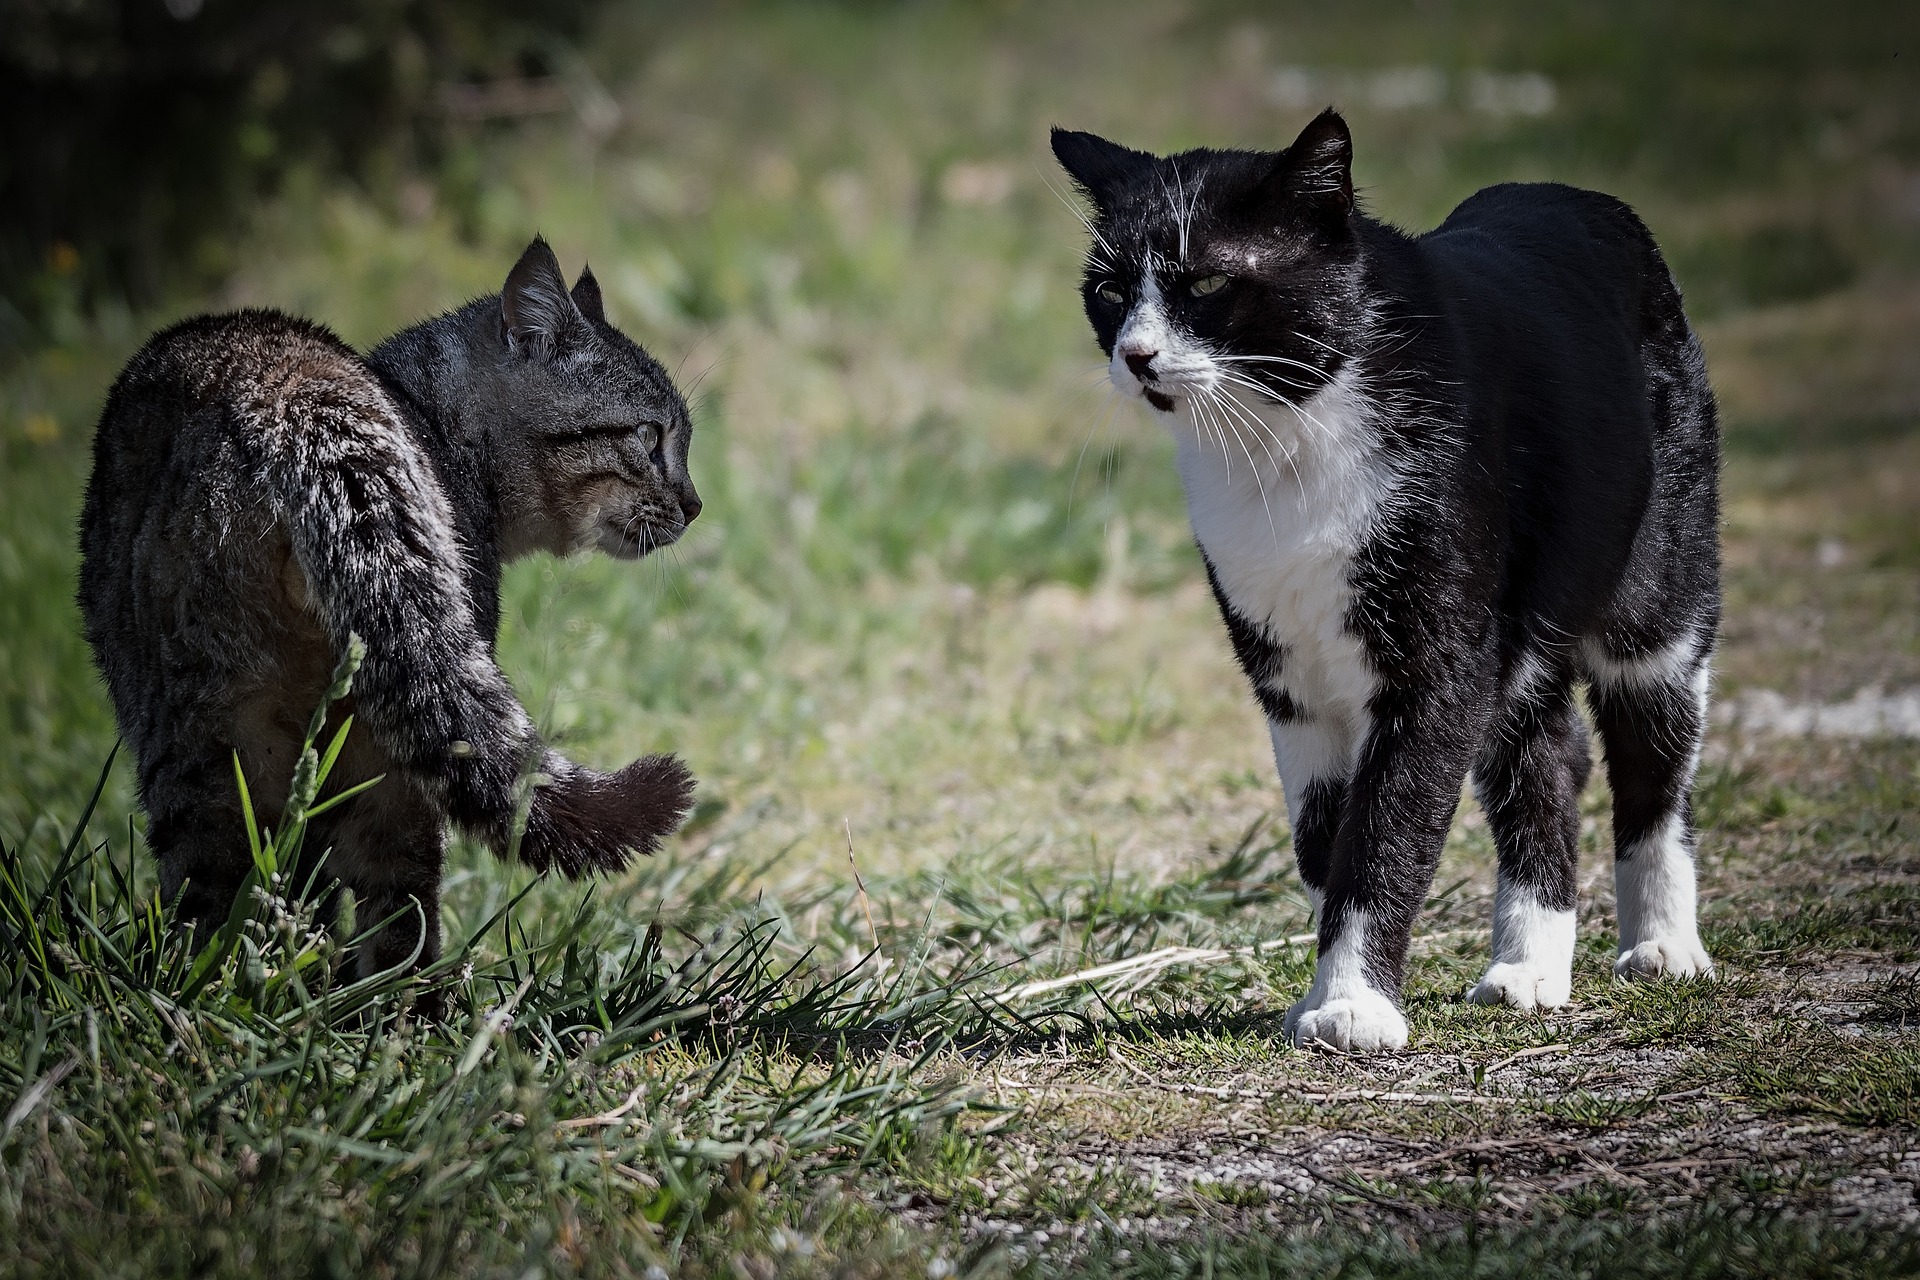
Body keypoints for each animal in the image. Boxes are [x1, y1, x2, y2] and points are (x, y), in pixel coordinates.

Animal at [80, 239, 706, 974]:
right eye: (650, 436)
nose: (696, 504)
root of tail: (295, 398)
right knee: (392, 906)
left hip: (209, 732)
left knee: (229, 893)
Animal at [1059, 110, 1720, 1051]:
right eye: (1110, 291)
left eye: (1211, 280)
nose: (1138, 354)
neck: (1285, 440)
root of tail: (1577, 195)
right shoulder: (1291, 680)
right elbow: (1323, 838)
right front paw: (1324, 988)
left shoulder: (1435, 663)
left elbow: (1385, 831)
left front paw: (1353, 1005)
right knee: (1547, 754)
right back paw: (1530, 966)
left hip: (1660, 583)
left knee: (1653, 745)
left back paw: (1664, 945)